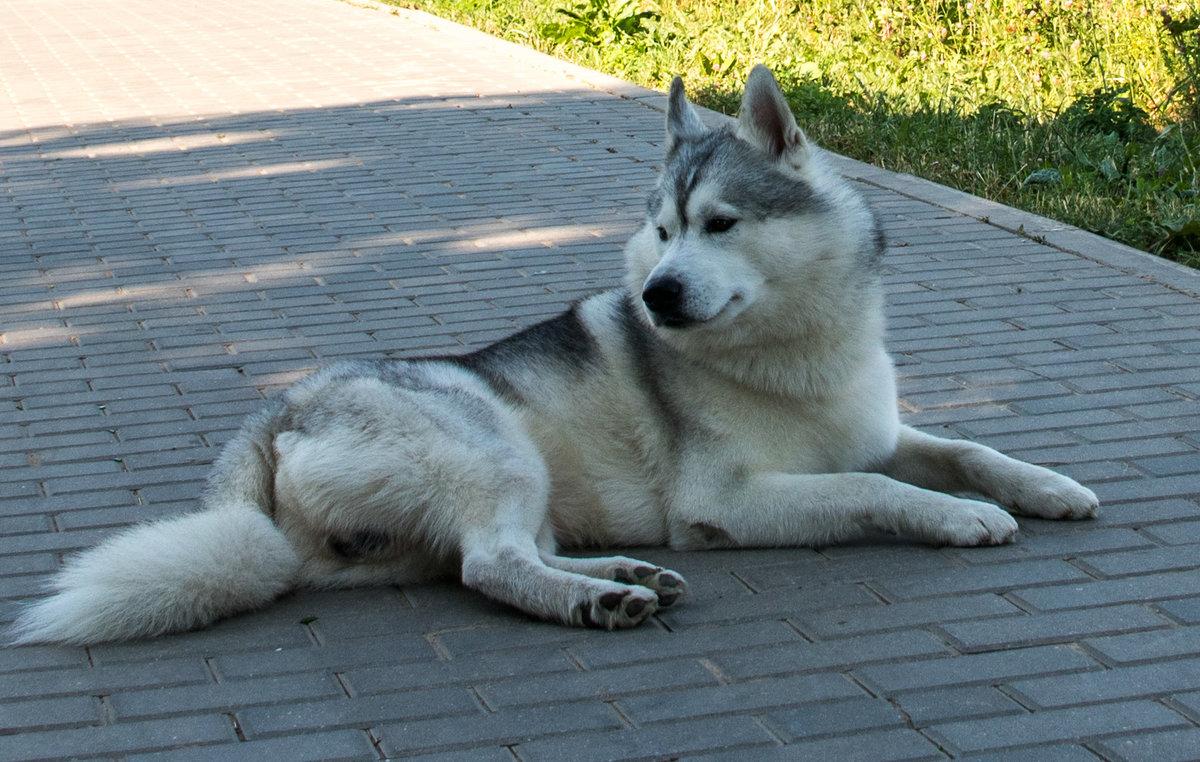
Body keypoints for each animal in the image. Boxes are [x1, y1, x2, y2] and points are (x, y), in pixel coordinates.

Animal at [9, 65, 1099, 648]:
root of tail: (273, 415)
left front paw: (1048, 486)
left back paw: (623, 572)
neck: (791, 352)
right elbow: (879, 491)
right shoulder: (732, 503)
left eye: (719, 224)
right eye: (662, 230)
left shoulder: (876, 427)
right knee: (490, 565)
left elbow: (964, 449)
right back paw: (598, 599)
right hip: (495, 450)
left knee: (492, 558)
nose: (656, 296)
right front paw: (962, 519)